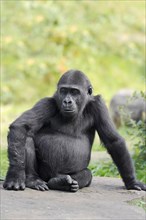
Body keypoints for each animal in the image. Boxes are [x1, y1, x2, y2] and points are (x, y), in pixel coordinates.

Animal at [3, 69, 146, 192]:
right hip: (44, 175)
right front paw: (15, 175)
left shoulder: (99, 105)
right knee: (26, 138)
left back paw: (61, 183)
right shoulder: (46, 103)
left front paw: (132, 182)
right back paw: (33, 180)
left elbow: (114, 141)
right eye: (64, 91)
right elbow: (21, 126)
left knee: (86, 174)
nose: (67, 101)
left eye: (74, 92)